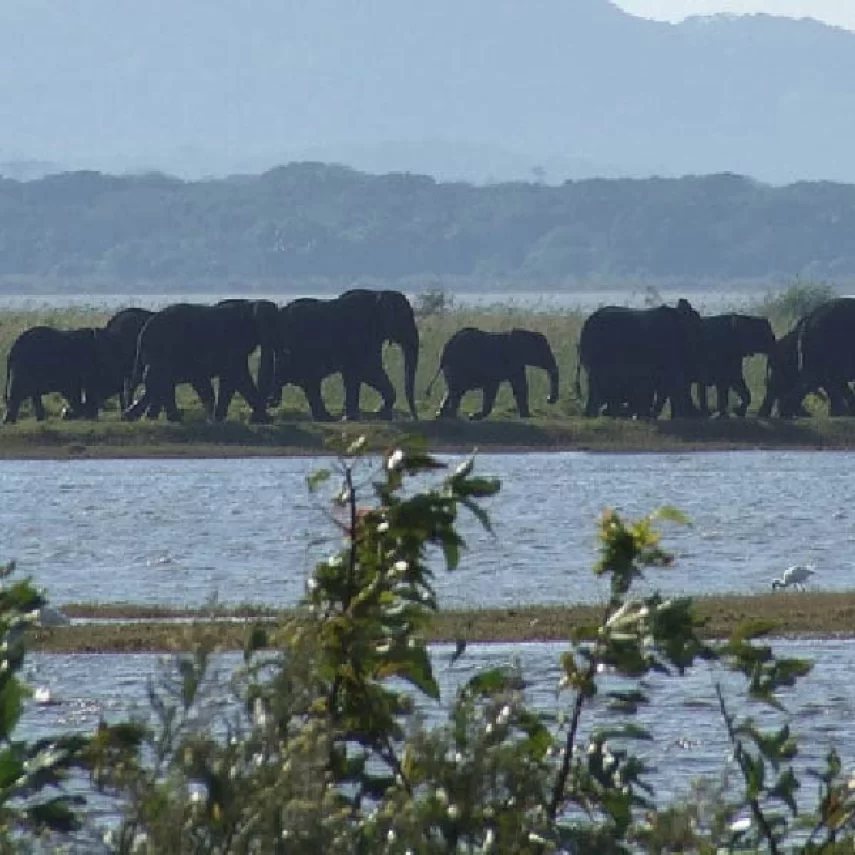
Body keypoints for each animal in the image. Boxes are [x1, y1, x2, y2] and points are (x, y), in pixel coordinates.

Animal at [123, 300, 278, 423]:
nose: (271, 402)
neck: (251, 305)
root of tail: (142, 334)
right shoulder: (233, 340)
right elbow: (237, 374)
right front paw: (265, 420)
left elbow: (230, 378)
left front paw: (218, 419)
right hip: (162, 349)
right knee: (158, 379)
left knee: (159, 382)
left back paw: (140, 416)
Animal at [271, 288, 419, 421]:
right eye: (406, 317)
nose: (415, 418)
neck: (379, 293)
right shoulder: (360, 334)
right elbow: (368, 370)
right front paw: (379, 415)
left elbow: (355, 375)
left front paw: (354, 417)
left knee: (309, 382)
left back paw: (326, 418)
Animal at [426, 327, 559, 419]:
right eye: (544, 351)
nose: (548, 399)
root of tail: (445, 350)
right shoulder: (512, 360)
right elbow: (516, 386)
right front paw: (474, 416)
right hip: (457, 366)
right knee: (456, 391)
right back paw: (451, 416)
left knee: (452, 390)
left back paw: (441, 415)